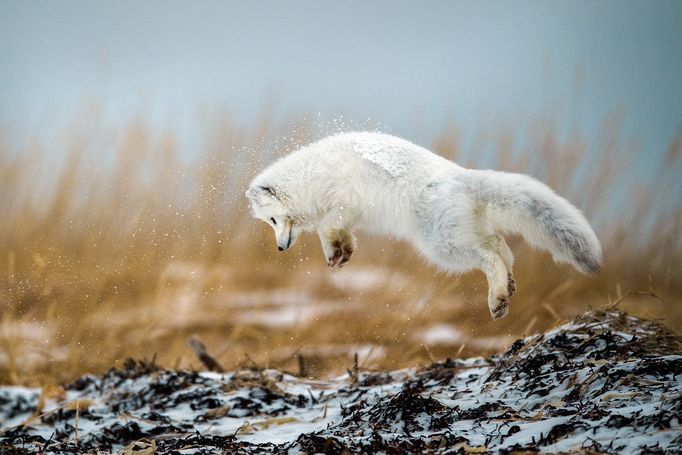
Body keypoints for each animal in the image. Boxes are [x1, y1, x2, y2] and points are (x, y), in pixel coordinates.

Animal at [246, 132, 600, 320]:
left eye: (273, 220)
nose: (280, 247)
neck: (307, 178)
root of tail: (461, 175)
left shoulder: (343, 200)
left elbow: (326, 225)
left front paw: (335, 251)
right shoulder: (347, 214)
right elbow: (336, 232)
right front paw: (341, 253)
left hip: (441, 245)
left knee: (489, 258)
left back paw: (497, 300)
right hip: (461, 234)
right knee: (501, 247)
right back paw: (509, 286)